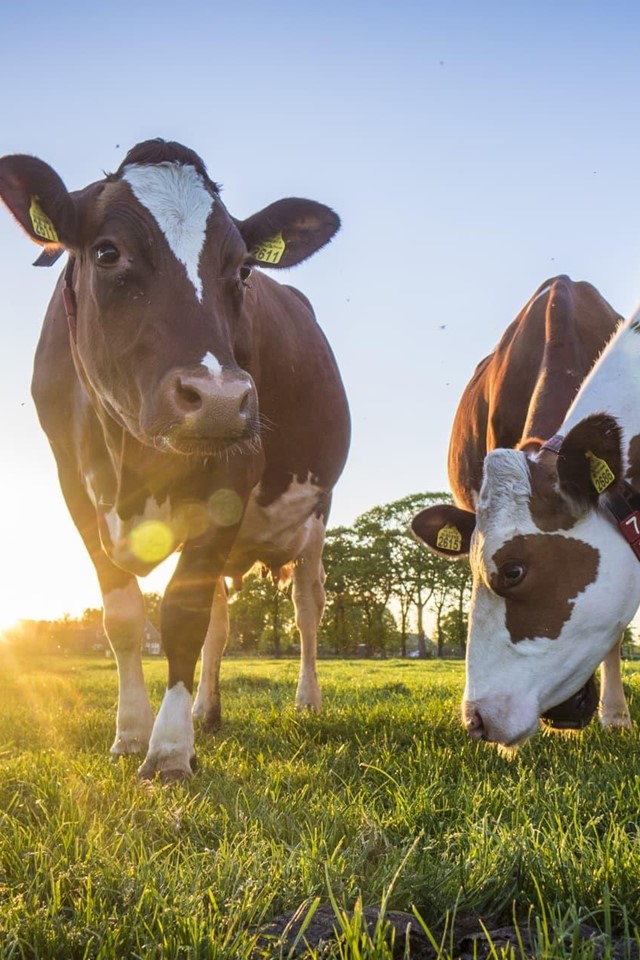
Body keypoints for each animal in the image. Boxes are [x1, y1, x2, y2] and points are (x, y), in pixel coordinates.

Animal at [0, 137, 350, 780]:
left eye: (243, 269)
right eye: (107, 251)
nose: (219, 398)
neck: (130, 461)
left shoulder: (235, 476)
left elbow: (182, 618)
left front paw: (167, 751)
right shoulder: (74, 488)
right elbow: (123, 617)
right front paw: (132, 733)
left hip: (317, 513)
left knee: (306, 606)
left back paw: (306, 702)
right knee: (221, 618)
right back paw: (207, 712)